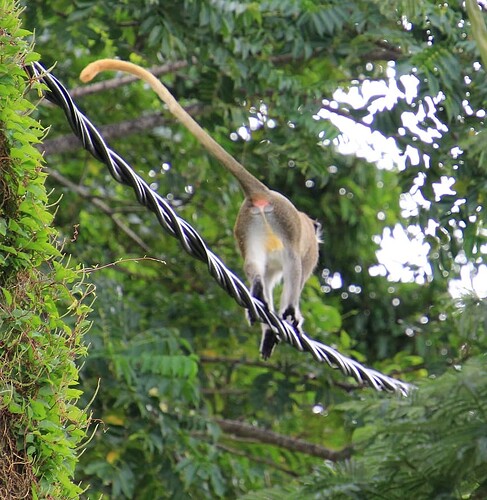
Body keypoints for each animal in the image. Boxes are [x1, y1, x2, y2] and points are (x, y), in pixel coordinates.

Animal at [81, 59, 320, 360]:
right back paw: (287, 312)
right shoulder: (311, 251)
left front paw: (268, 329)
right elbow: (296, 271)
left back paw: (256, 292)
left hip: (247, 224)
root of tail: (264, 194)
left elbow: (268, 274)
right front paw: (289, 316)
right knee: (292, 260)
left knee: (256, 265)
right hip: (284, 223)